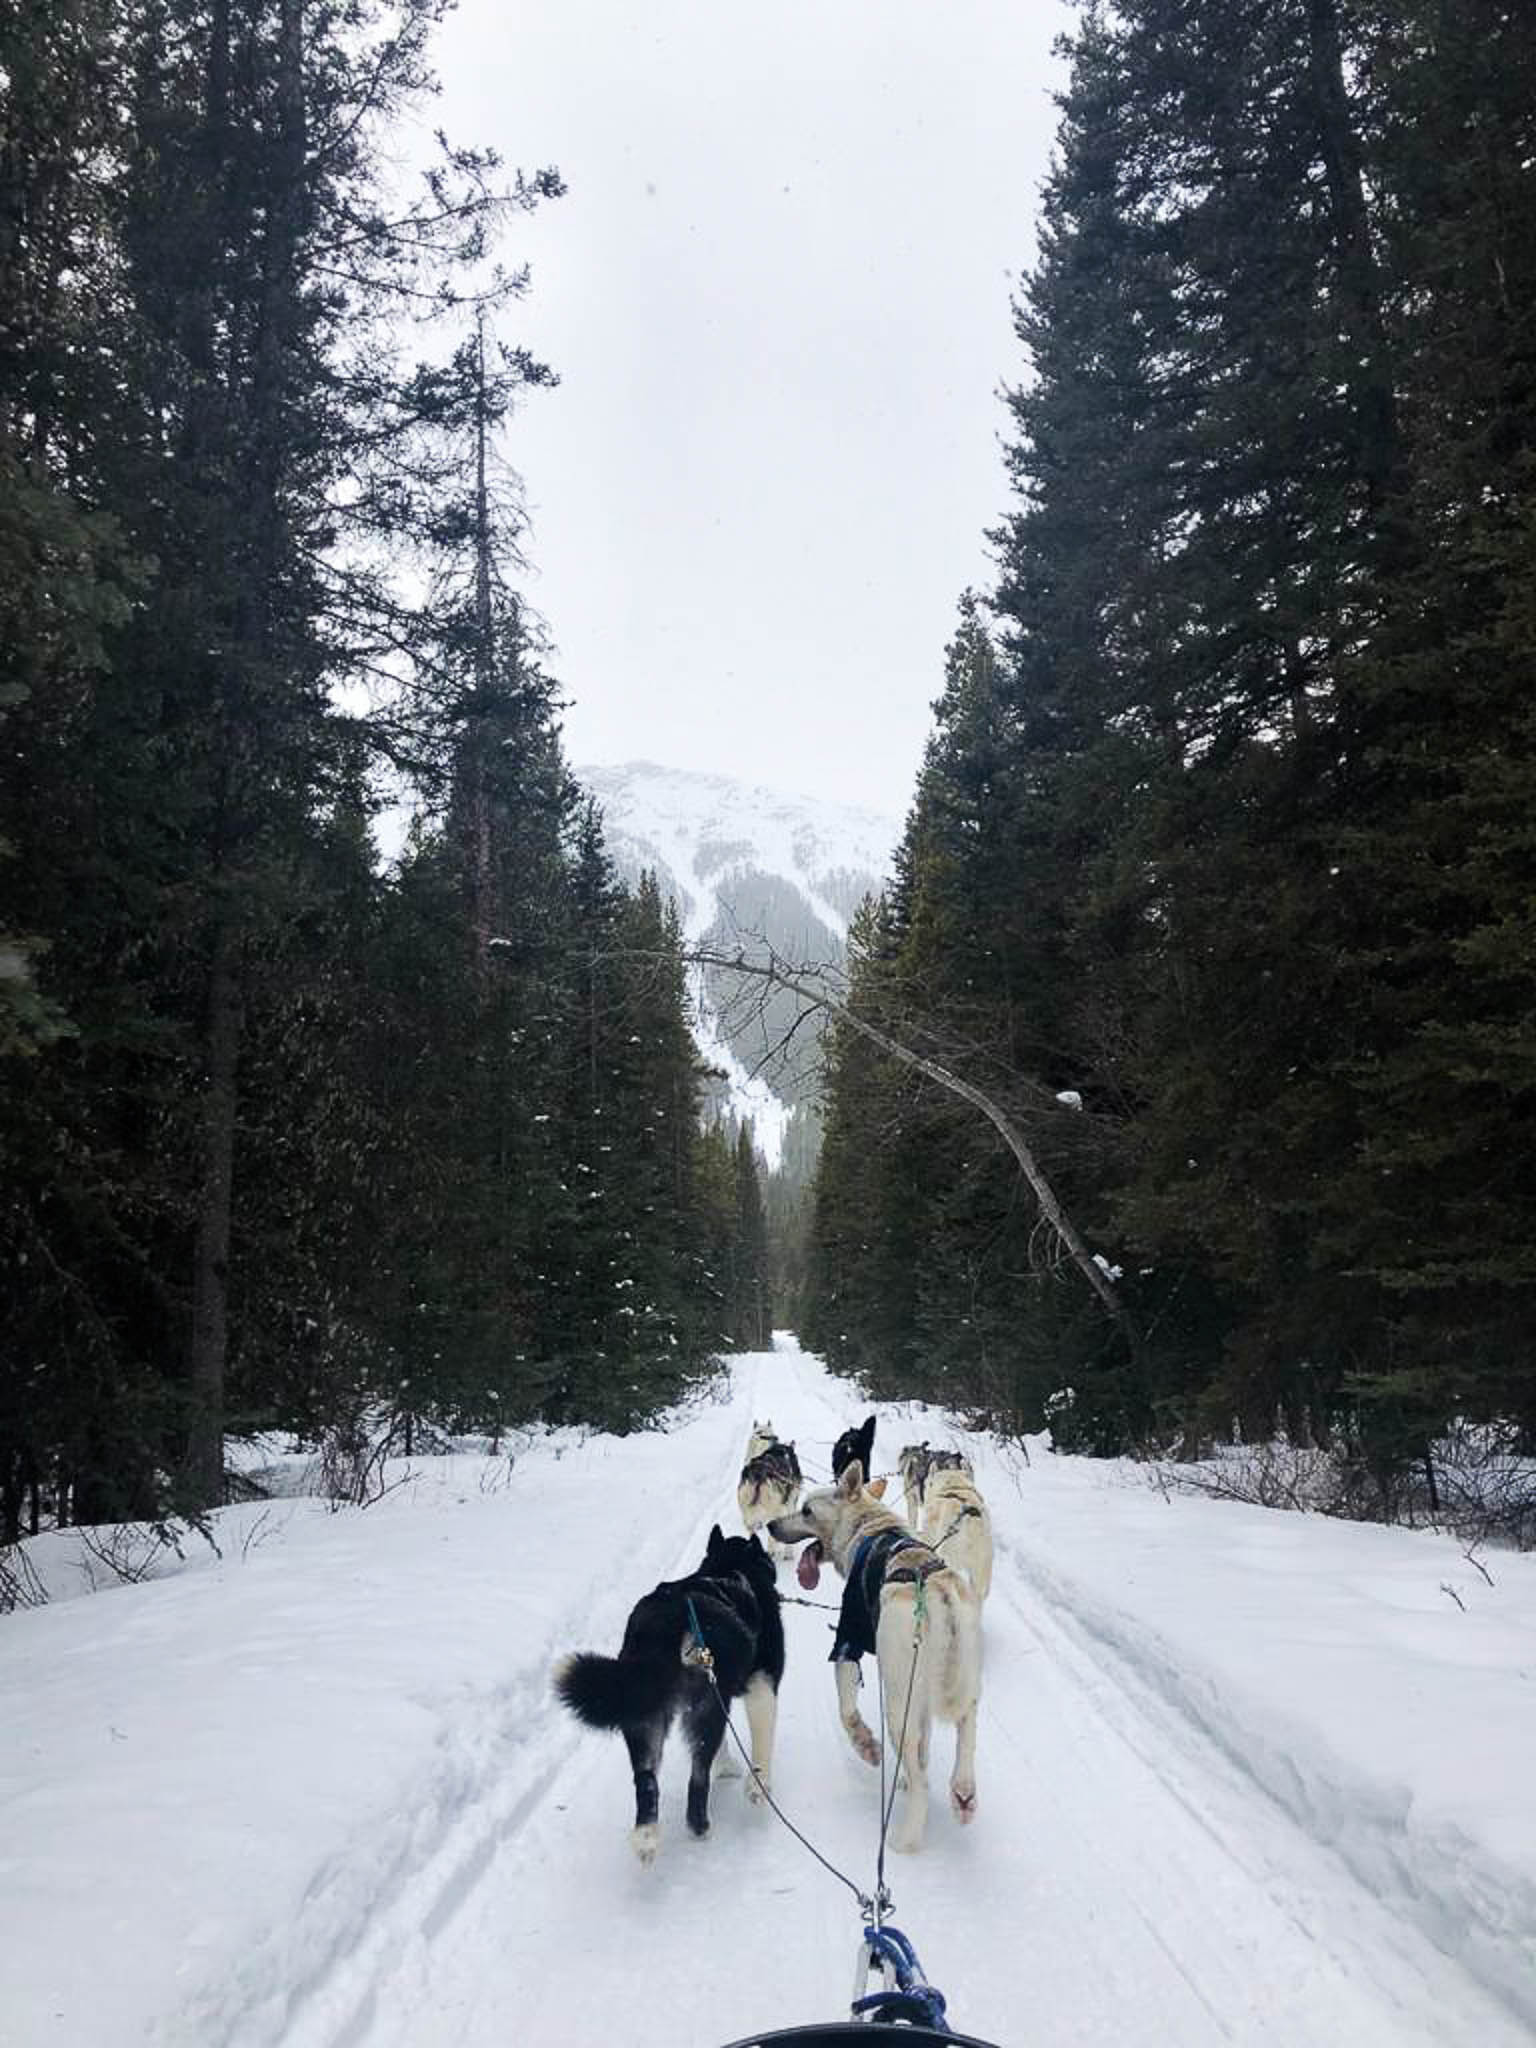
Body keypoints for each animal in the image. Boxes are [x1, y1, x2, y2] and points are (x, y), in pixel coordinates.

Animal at [557, 1531, 786, 1867]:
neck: (731, 1569)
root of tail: (671, 1621)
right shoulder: (761, 1686)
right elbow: (761, 1746)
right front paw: (757, 1786)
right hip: (704, 1709)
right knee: (698, 1777)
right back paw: (700, 1828)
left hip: (644, 1716)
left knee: (646, 1781)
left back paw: (646, 1839)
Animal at [770, 1458, 987, 1859]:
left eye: (806, 1510)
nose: (772, 1525)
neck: (873, 1529)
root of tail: (939, 1593)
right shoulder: (921, 1702)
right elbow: (925, 1744)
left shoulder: (847, 1642)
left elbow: (847, 1710)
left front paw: (866, 1745)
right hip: (963, 1689)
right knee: (965, 1736)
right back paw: (962, 1792)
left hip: (897, 1704)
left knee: (921, 1785)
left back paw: (906, 1838)